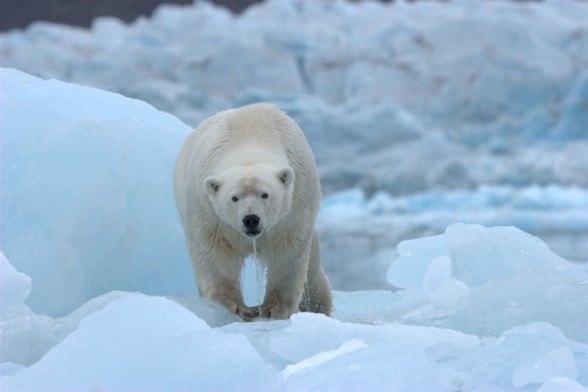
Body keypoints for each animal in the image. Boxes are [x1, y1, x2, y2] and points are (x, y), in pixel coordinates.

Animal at [173, 102, 330, 320]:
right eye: (234, 197)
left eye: (264, 194)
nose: (251, 219)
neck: (248, 142)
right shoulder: (207, 210)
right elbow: (214, 250)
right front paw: (234, 306)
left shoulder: (295, 204)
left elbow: (287, 250)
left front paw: (275, 308)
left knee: (312, 269)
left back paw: (318, 306)